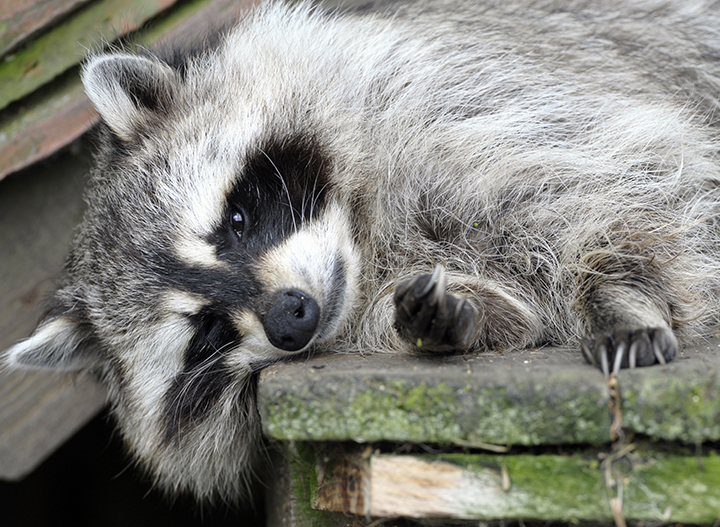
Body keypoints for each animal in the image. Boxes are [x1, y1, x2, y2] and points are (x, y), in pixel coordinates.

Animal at [6, 0, 720, 503]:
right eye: (206, 334)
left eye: (236, 221)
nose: (291, 317)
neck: (366, 246)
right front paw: (457, 318)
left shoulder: (447, 104)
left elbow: (633, 182)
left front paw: (618, 291)